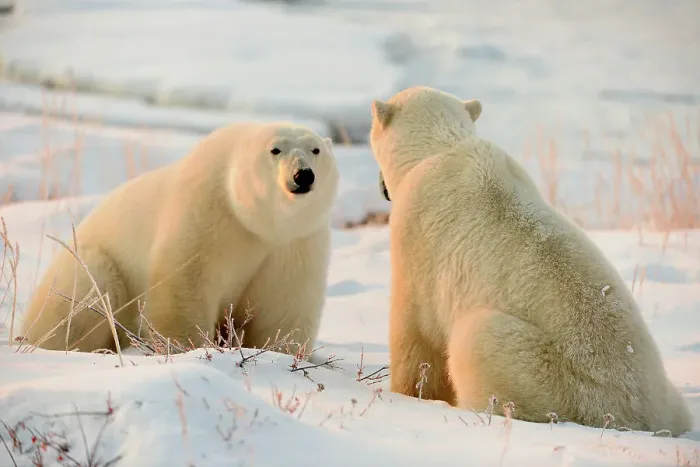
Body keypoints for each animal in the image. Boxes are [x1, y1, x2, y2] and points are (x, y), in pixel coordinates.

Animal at [20, 121, 339, 356]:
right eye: (275, 149)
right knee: (90, 294)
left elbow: (284, 305)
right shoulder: (208, 211)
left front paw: (281, 352)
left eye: (316, 150)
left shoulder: (295, 243)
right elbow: (185, 283)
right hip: (87, 266)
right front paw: (185, 347)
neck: (256, 224)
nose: (303, 175)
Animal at [369, 85, 693, 436]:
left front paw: (407, 394)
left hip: (553, 379)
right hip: (666, 396)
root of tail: (637, 419)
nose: (381, 188)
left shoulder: (417, 239)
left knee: (476, 340)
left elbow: (415, 334)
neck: (441, 149)